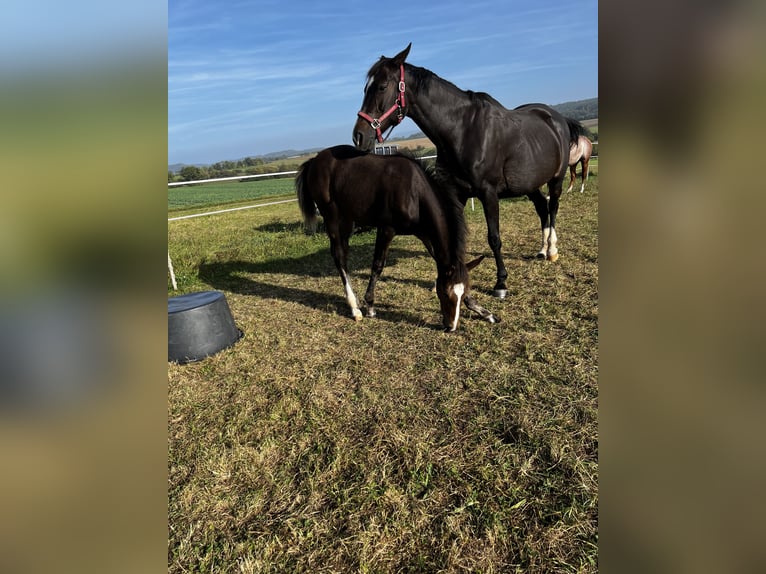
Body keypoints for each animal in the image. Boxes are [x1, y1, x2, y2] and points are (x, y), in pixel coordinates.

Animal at [294, 145, 498, 332]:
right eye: (446, 293)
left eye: (462, 295)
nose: (451, 327)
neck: (414, 192)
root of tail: (315, 160)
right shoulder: (386, 229)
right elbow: (377, 265)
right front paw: (370, 306)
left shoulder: (424, 232)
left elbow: (442, 261)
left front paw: (484, 312)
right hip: (332, 217)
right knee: (339, 257)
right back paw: (354, 308)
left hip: (346, 218)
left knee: (343, 253)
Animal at [352, 42, 588, 300]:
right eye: (366, 88)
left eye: (382, 86)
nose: (359, 136)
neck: (463, 130)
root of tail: (557, 118)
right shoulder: (457, 194)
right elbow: (455, 236)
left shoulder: (488, 193)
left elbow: (494, 238)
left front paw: (501, 282)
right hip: (529, 184)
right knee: (542, 208)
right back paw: (542, 250)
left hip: (556, 179)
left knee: (553, 207)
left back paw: (552, 250)